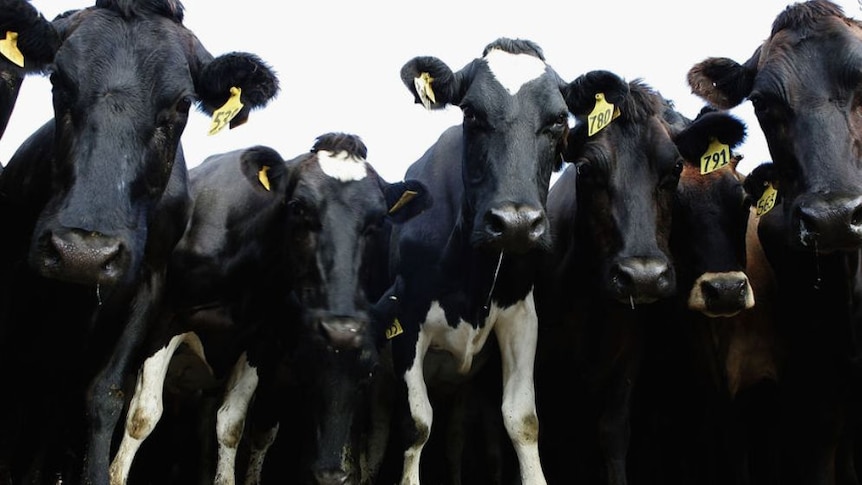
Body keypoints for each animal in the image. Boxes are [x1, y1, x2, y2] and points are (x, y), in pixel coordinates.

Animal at [108, 133, 432, 484]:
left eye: (378, 221)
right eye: (298, 207)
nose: (342, 329)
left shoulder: (261, 342)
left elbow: (231, 424)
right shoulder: (165, 323)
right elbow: (142, 416)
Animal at [376, 37, 584, 484]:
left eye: (559, 120)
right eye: (471, 112)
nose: (516, 223)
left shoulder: (521, 316)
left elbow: (523, 420)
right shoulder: (406, 318)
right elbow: (416, 425)